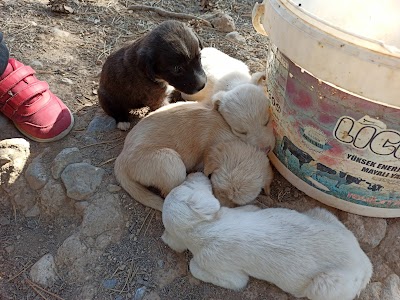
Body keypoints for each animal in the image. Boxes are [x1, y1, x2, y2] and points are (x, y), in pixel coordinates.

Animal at [114, 83, 274, 211]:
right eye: (217, 190)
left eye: (267, 121)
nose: (222, 209)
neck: (229, 139)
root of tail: (121, 158)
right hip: (170, 163)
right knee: (168, 191)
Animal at [161, 172, 374, 298]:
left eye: (187, 187)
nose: (196, 172)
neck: (204, 228)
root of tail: (365, 265)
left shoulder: (230, 274)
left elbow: (193, 266)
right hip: (322, 214)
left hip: (324, 288)